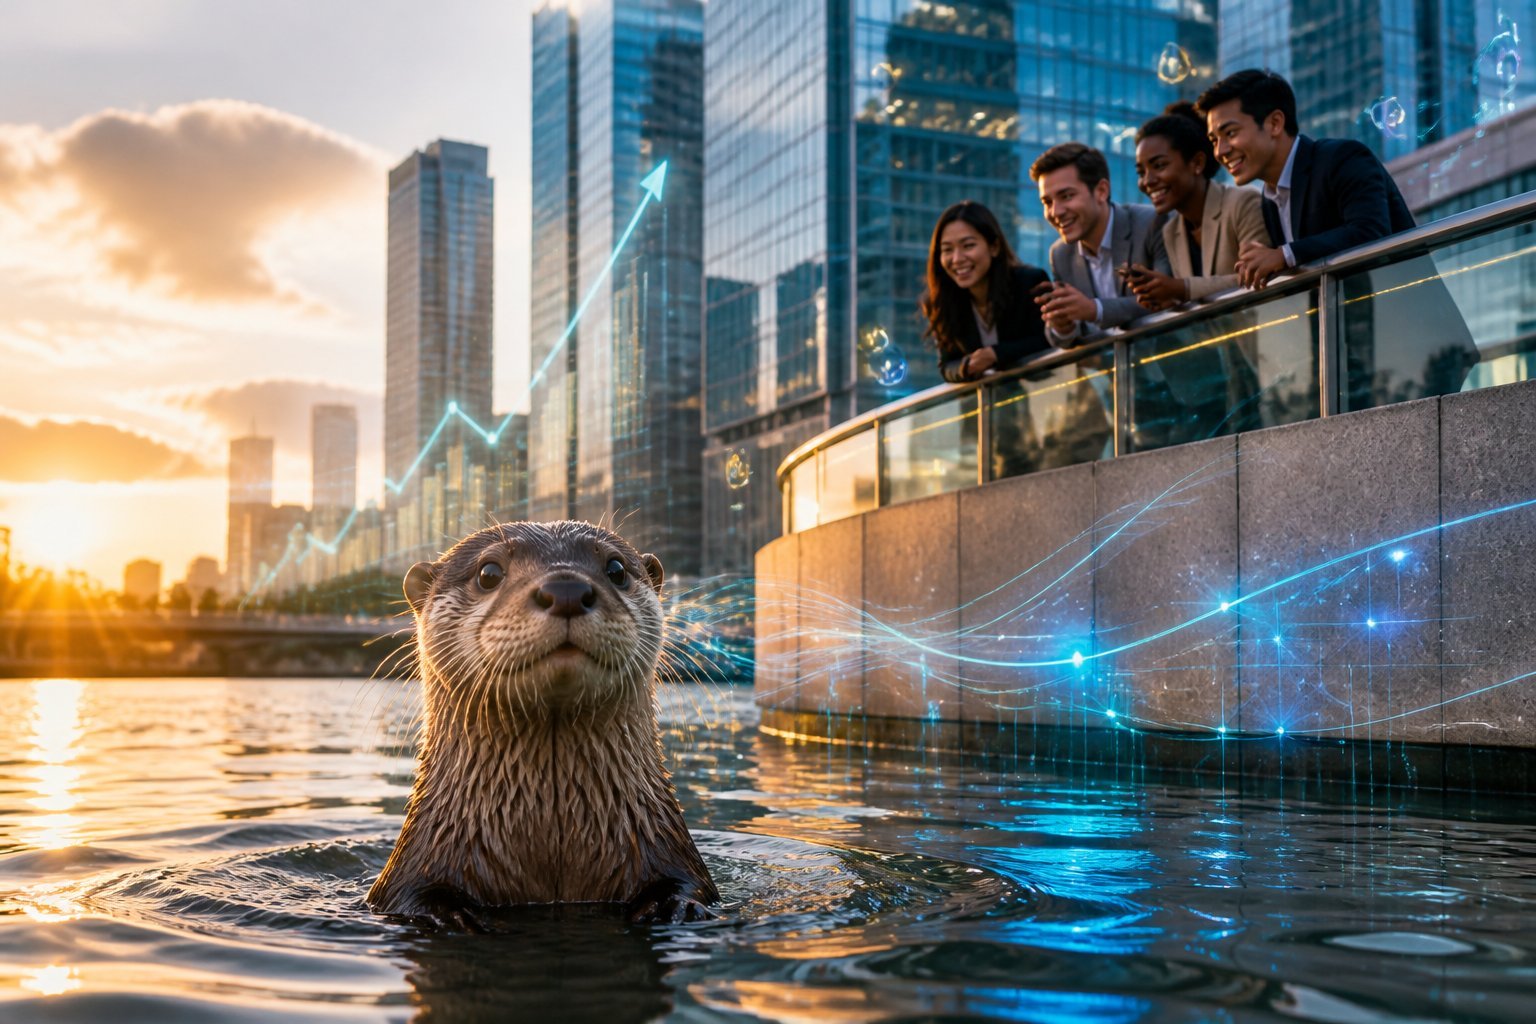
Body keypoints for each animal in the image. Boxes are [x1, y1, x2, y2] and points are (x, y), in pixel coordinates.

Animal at [367, 520, 718, 926]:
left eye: (616, 569)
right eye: (489, 572)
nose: (566, 590)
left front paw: (674, 906)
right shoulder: (409, 881)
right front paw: (450, 915)